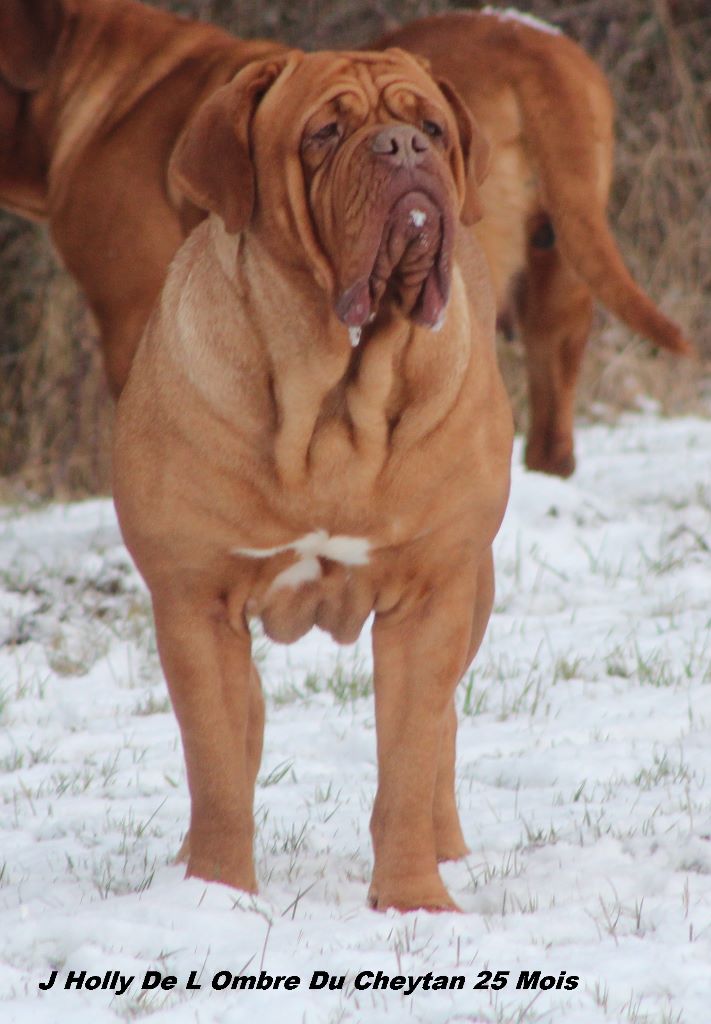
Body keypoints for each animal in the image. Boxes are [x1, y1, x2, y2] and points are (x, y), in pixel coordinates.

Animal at [111, 48, 514, 913]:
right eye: (323, 134)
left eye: (432, 126)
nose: (403, 147)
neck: (332, 395)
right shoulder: (196, 604)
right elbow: (217, 767)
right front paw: (218, 897)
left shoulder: (428, 598)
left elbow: (408, 757)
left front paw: (414, 901)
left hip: (473, 595)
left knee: (441, 731)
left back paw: (448, 848)